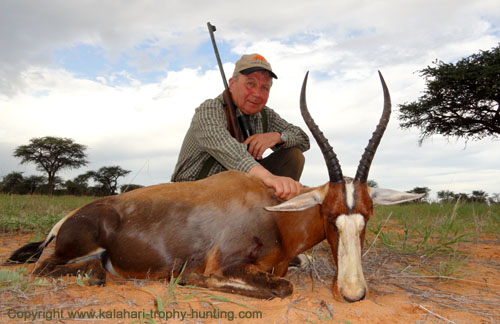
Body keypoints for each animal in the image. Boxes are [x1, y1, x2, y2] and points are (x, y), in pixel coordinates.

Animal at [6, 71, 422, 302]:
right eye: (330, 214)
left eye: (367, 216)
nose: (353, 293)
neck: (273, 211)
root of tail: (65, 221)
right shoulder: (224, 264)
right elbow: (280, 287)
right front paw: (189, 280)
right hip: (78, 251)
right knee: (79, 271)